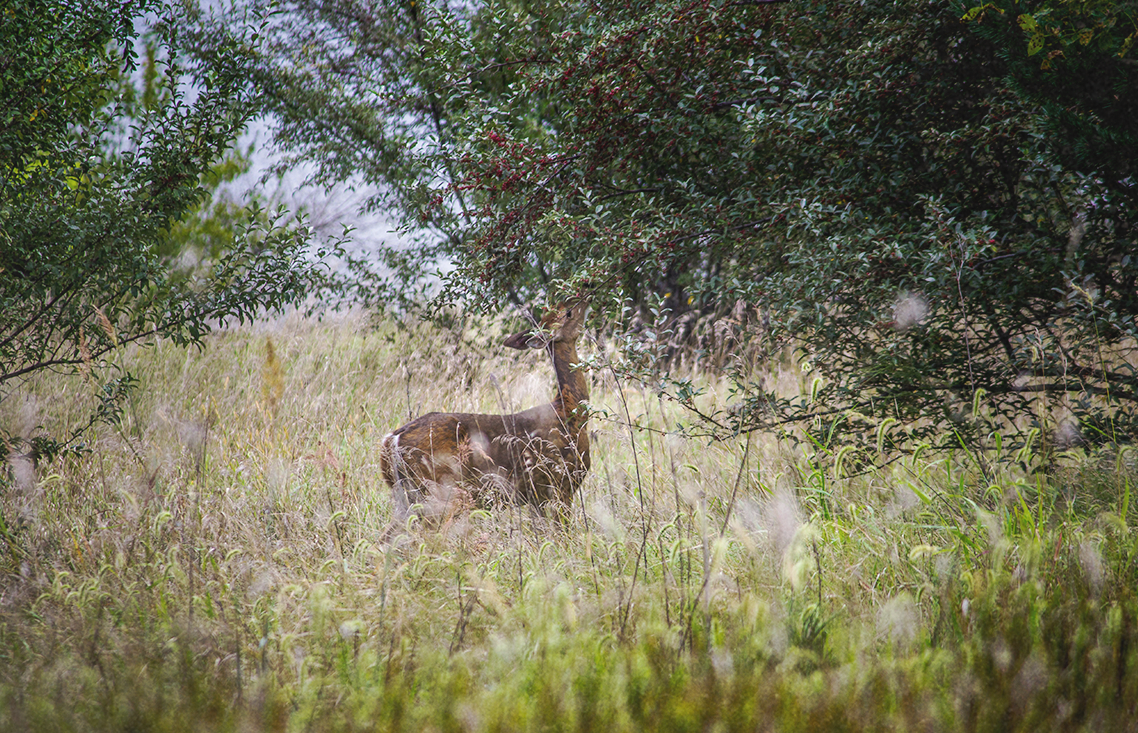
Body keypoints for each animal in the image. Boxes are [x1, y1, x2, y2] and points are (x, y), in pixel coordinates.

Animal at [382, 300, 591, 534]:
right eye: (568, 312)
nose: (587, 293)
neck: (569, 411)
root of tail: (392, 440)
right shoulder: (562, 483)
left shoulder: (537, 496)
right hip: (439, 492)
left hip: (405, 497)